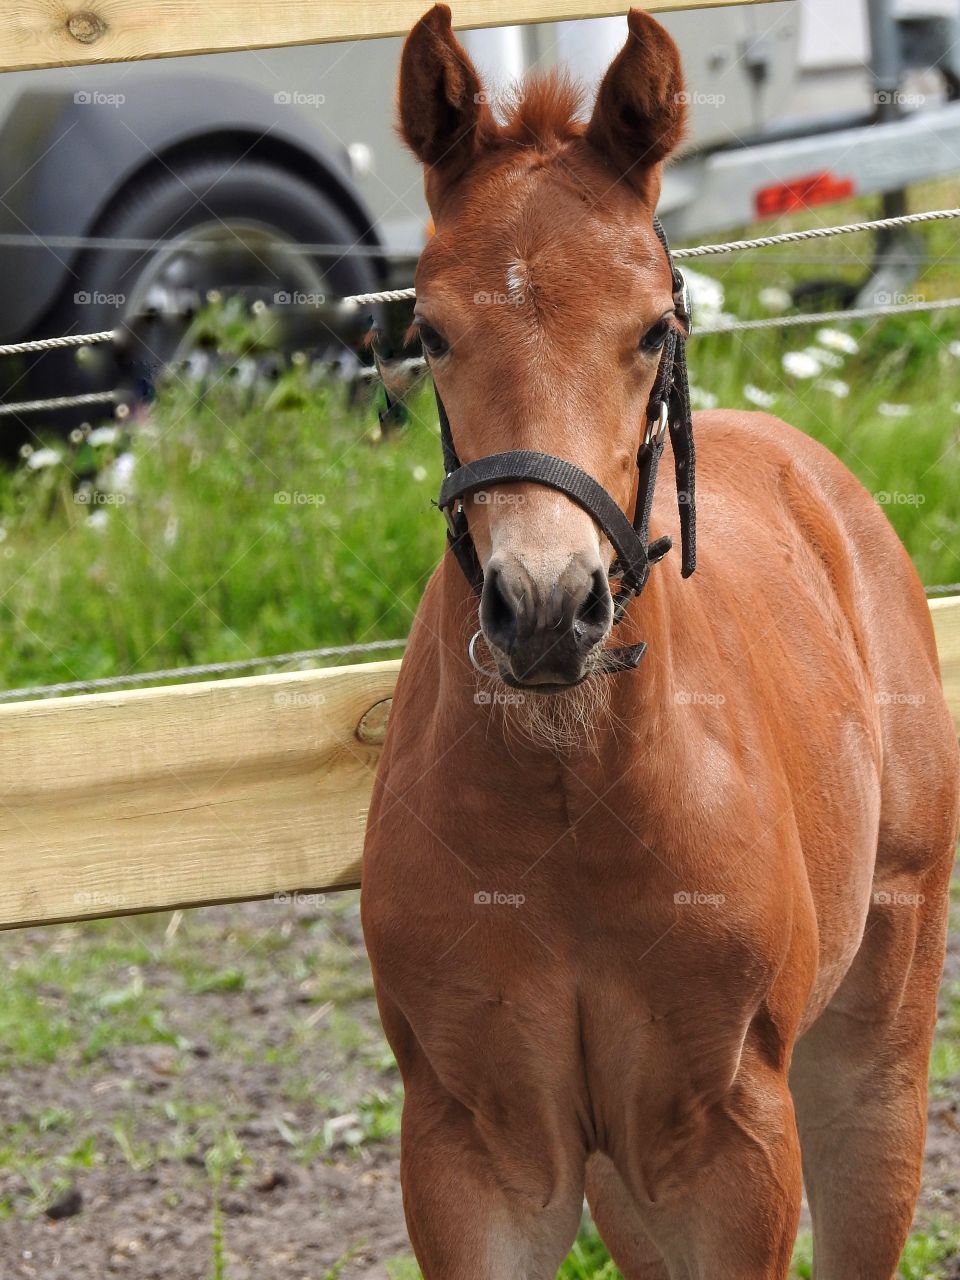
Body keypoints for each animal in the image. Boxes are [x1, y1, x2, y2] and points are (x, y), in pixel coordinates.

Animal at [360, 5, 960, 1274]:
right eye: (430, 331)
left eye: (650, 330)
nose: (547, 604)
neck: (566, 806)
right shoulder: (473, 1146)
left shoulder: (733, 1138)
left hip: (873, 1053)